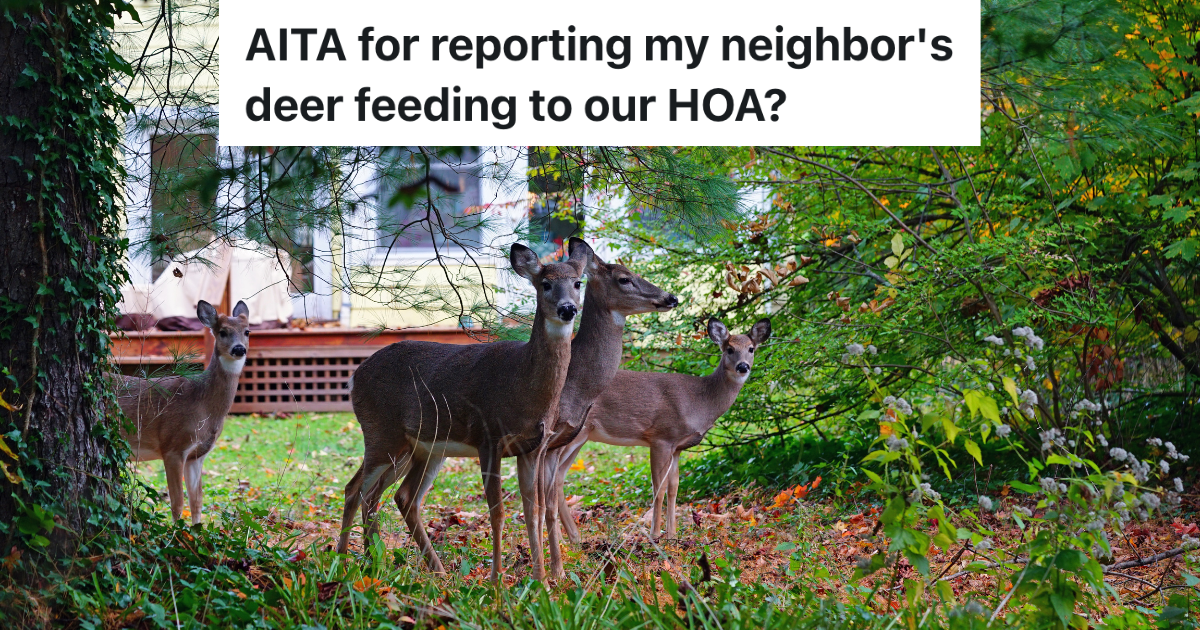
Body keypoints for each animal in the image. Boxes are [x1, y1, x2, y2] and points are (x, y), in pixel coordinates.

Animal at [117, 300, 250, 525]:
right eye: (222, 332)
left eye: (247, 331)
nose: (239, 348)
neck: (203, 406)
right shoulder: (173, 447)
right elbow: (177, 502)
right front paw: (177, 533)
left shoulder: (197, 455)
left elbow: (196, 502)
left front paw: (197, 532)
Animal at [337, 239, 592, 582]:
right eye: (546, 284)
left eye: (578, 283)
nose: (568, 309)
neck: (522, 384)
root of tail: (355, 376)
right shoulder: (489, 438)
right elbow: (497, 513)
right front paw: (497, 581)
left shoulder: (533, 448)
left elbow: (533, 512)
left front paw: (542, 581)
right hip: (381, 433)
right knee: (356, 491)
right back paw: (344, 563)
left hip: (422, 449)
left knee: (398, 497)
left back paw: (415, 567)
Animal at [552, 317, 771, 542]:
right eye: (729, 349)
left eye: (751, 348)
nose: (743, 366)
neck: (699, 401)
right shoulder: (661, 437)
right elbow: (659, 487)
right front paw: (655, 534)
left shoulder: (677, 447)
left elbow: (674, 487)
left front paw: (672, 535)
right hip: (570, 431)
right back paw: (562, 539)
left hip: (581, 437)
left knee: (557, 477)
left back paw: (572, 538)